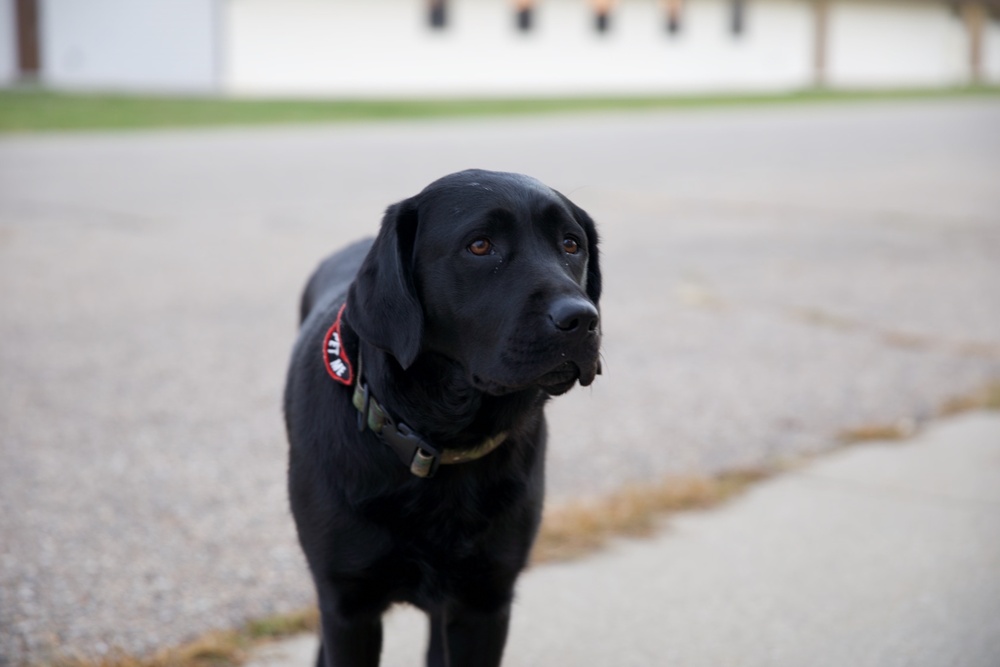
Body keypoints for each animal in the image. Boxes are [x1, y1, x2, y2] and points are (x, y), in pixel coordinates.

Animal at [286, 171, 604, 667]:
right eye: (480, 245)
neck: (441, 438)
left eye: (571, 245)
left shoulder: (484, 602)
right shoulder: (349, 605)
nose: (582, 319)